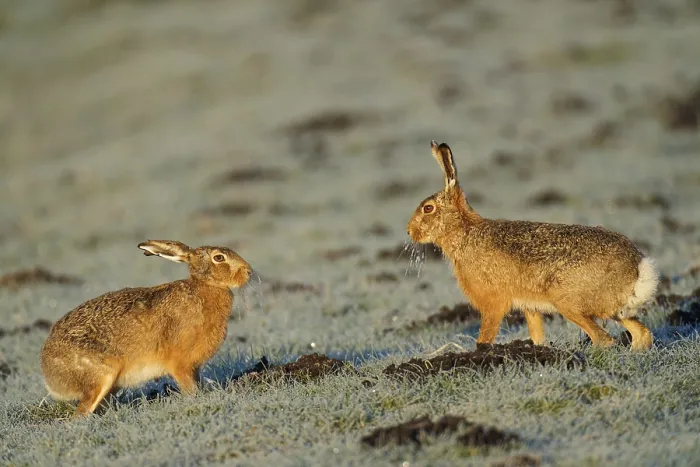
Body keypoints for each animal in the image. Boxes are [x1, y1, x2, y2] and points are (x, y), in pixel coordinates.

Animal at [40, 240, 252, 416]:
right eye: (219, 257)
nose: (249, 272)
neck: (205, 287)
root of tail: (49, 372)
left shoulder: (194, 367)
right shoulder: (179, 364)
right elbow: (189, 388)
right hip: (101, 376)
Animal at [407, 141, 659, 351]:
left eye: (428, 208)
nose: (409, 231)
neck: (464, 232)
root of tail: (637, 268)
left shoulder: (494, 302)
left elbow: (486, 335)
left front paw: (481, 354)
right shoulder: (530, 307)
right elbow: (537, 334)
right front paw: (537, 351)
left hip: (568, 301)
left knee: (603, 339)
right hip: (615, 310)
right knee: (641, 334)